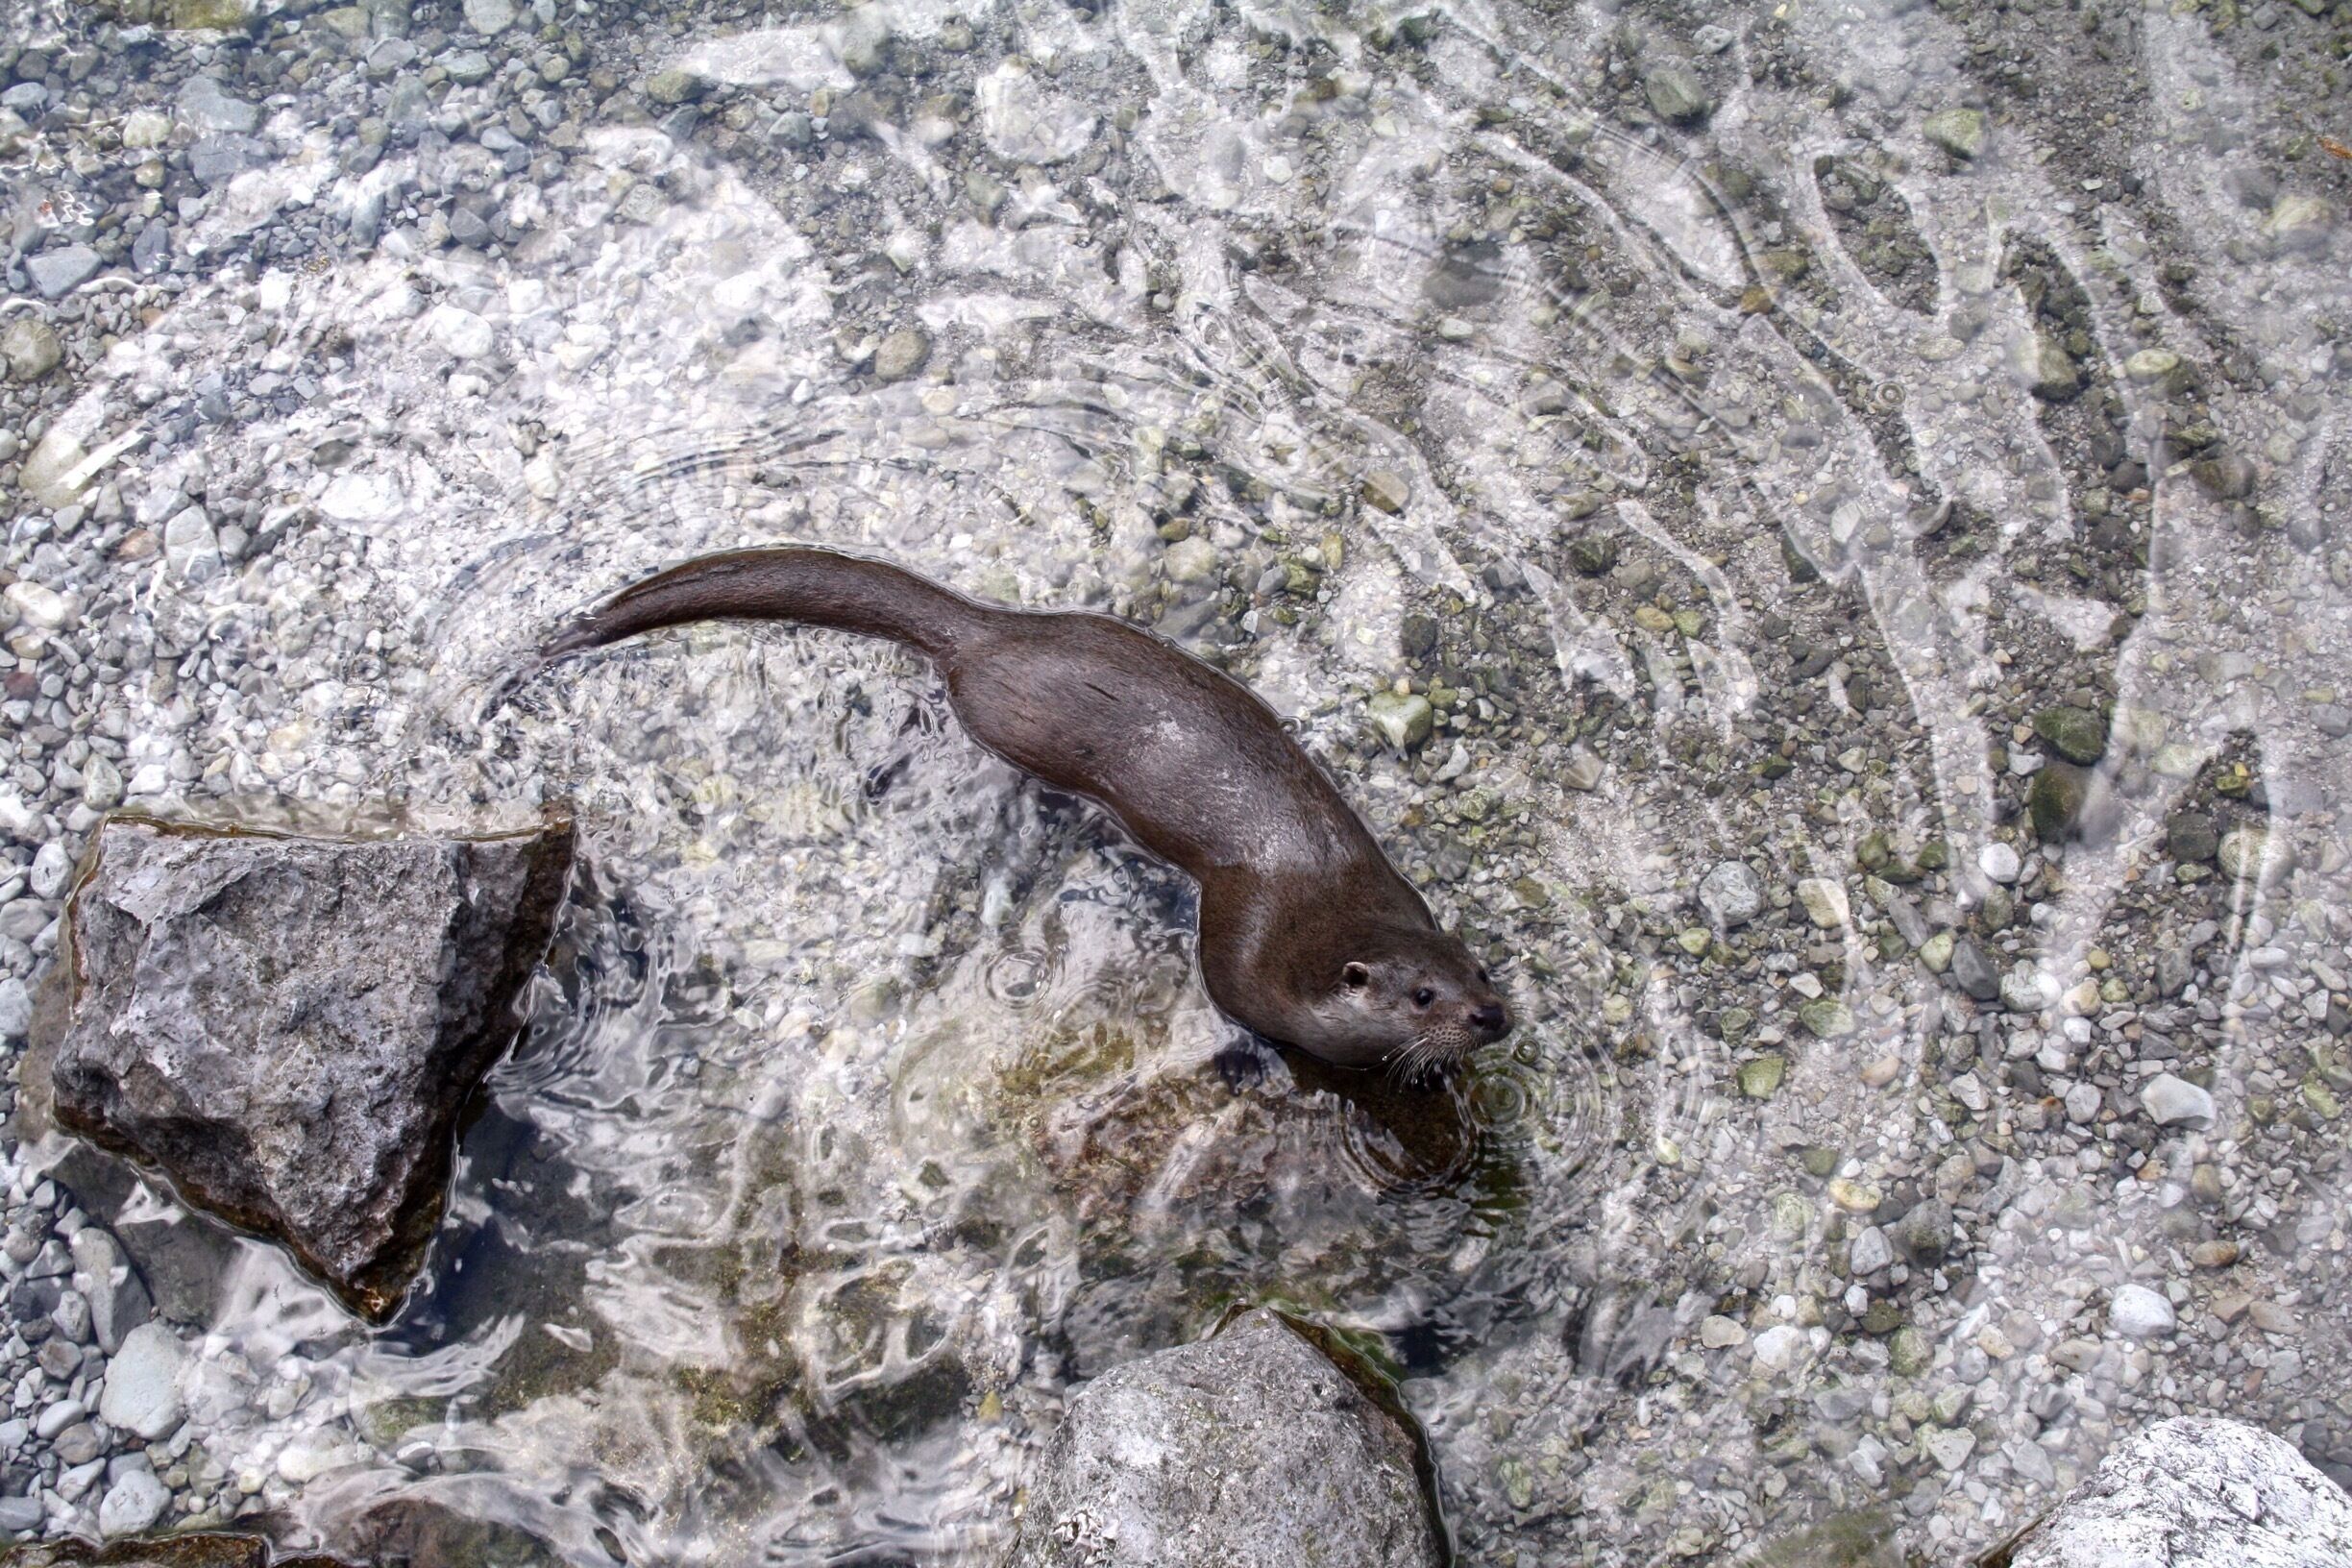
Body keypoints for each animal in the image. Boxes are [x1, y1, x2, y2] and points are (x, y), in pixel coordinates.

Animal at [539, 547, 1511, 1071]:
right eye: (1423, 996)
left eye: (1481, 970)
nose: (1490, 1017)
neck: (1318, 900)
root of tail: (988, 629)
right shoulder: (1238, 952)